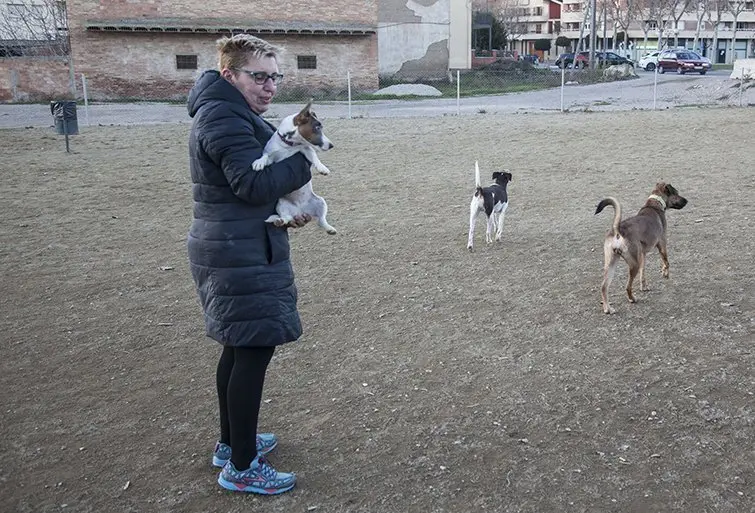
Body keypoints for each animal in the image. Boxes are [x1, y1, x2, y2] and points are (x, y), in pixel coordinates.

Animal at [254, 99, 336, 234]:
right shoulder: (271, 154)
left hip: (321, 202)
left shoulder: (305, 149)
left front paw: (322, 168)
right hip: (281, 204)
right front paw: (259, 162)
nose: (331, 145)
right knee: (286, 218)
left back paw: (329, 228)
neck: (289, 145)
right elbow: (265, 156)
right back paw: (279, 220)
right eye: (317, 127)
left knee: (321, 220)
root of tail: (300, 211)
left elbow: (314, 157)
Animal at [596, 182, 692, 314]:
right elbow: (666, 262)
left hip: (611, 264)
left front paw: (644, 286)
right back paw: (632, 299)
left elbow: (643, 273)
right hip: (633, 265)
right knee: (627, 286)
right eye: (676, 193)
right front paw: (665, 273)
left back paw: (607, 308)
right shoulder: (662, 244)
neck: (654, 204)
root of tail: (617, 230)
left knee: (603, 287)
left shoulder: (642, 255)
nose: (687, 201)